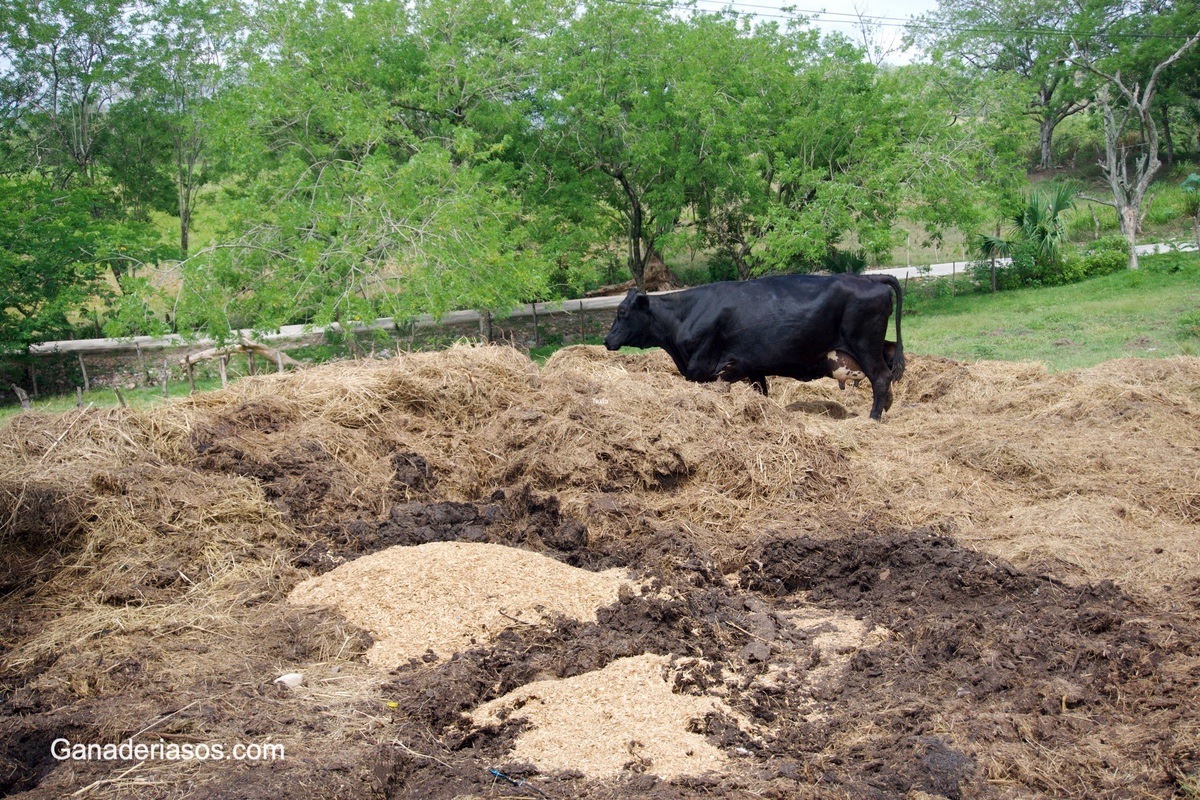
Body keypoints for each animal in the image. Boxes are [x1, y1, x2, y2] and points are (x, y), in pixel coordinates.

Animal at [604, 273, 902, 422]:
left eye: (622, 312)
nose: (607, 340)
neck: (687, 314)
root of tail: (870, 278)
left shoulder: (711, 369)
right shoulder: (753, 368)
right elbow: (762, 393)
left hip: (864, 346)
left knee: (881, 377)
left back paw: (873, 417)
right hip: (876, 347)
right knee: (889, 367)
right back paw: (886, 406)